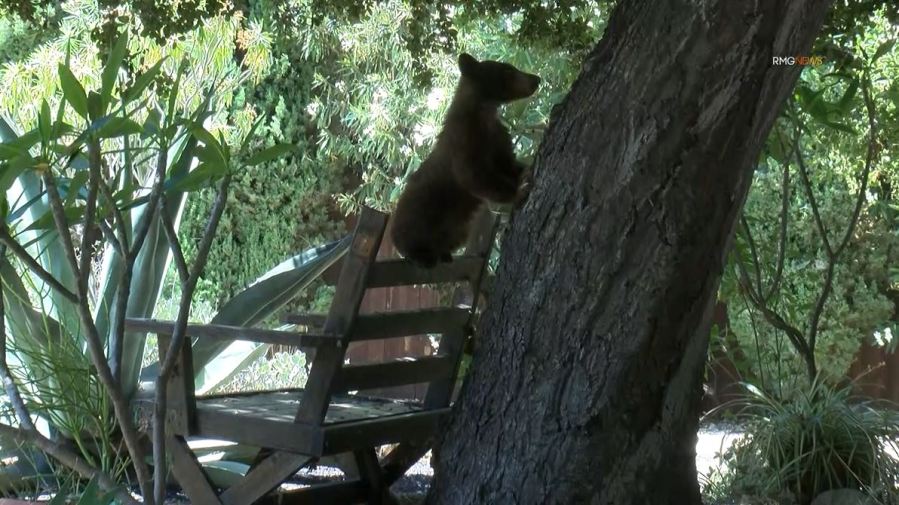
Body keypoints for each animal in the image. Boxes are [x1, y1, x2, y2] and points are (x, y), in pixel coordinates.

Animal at [390, 53, 536, 268]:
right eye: (508, 70)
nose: (536, 79)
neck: (483, 114)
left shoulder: (497, 136)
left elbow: (507, 163)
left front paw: (525, 169)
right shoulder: (464, 142)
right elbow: (474, 176)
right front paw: (518, 191)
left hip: (460, 230)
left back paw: (444, 254)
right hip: (419, 212)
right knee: (411, 233)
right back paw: (421, 256)